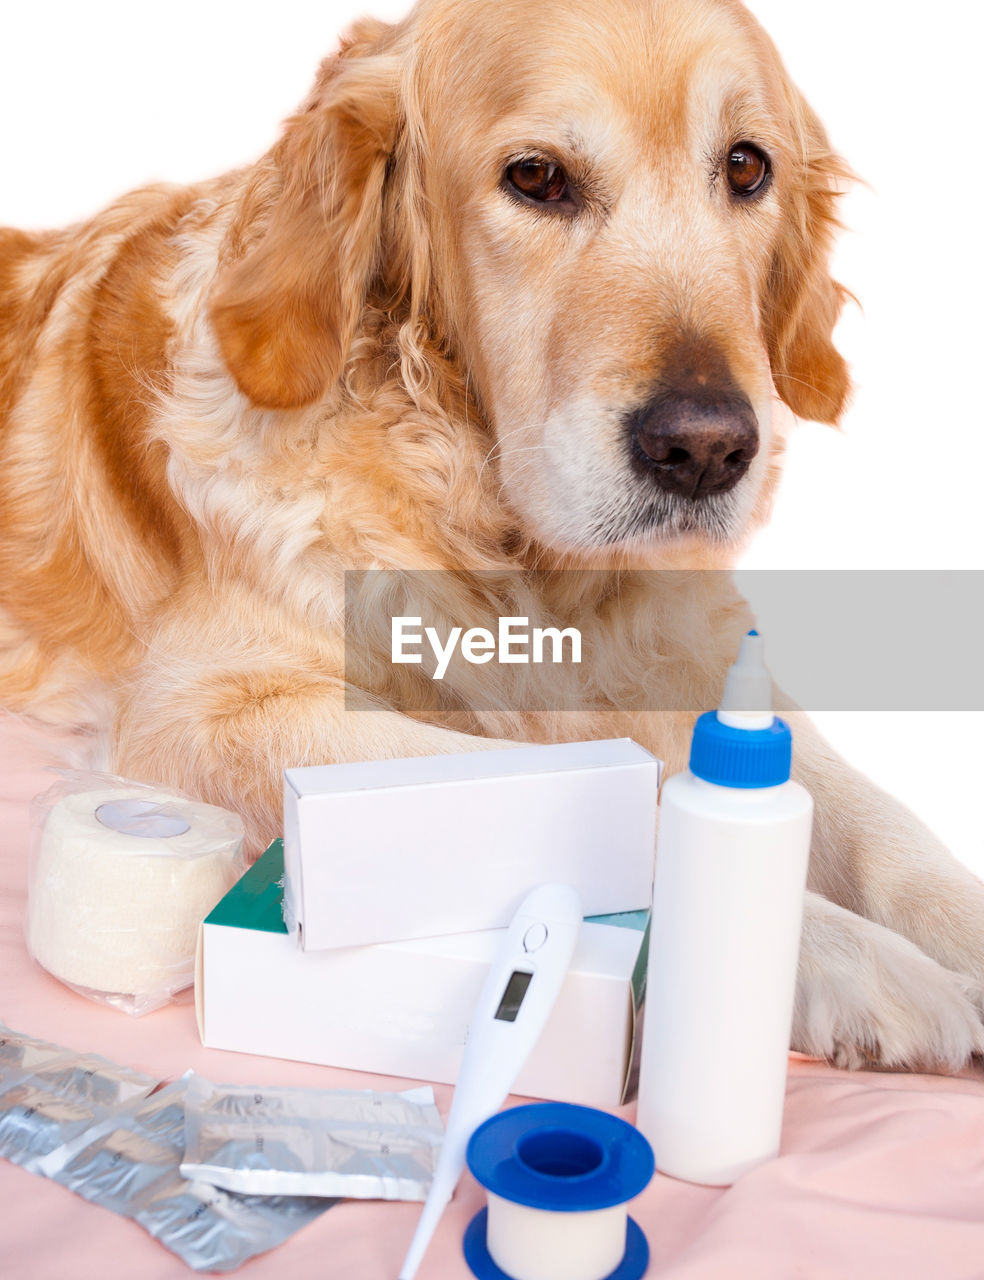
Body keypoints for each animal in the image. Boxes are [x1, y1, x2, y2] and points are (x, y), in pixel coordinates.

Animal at [1, 0, 982, 1075]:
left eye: (746, 167)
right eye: (537, 177)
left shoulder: (702, 663)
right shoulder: (199, 712)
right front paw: (849, 956)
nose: (707, 449)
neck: (512, 551)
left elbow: (875, 818)